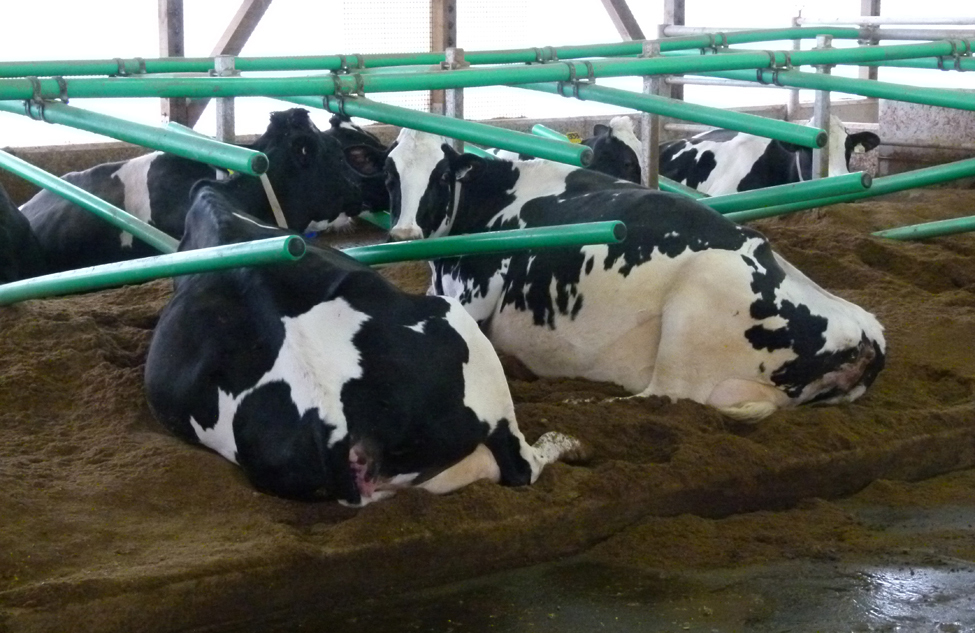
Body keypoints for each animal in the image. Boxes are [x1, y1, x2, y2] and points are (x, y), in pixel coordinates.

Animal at [386, 129, 888, 422]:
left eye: (440, 177)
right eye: (390, 178)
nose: (404, 233)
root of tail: (866, 335)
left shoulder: (471, 297)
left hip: (695, 305)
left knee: (663, 397)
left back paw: (578, 403)